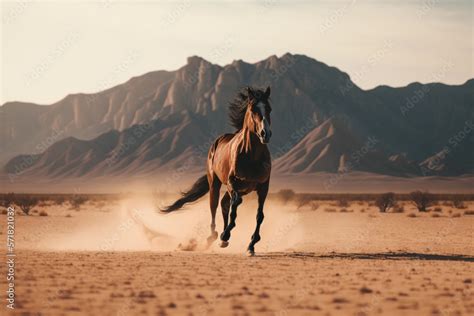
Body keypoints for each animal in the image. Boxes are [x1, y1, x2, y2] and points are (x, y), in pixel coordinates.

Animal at [162, 86, 272, 256]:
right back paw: (215, 236)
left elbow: (259, 215)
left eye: (269, 109)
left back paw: (222, 239)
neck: (252, 156)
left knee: (224, 203)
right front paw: (225, 234)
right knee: (215, 206)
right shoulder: (233, 183)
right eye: (253, 109)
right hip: (215, 183)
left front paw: (251, 245)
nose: (265, 134)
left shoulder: (263, 187)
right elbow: (235, 206)